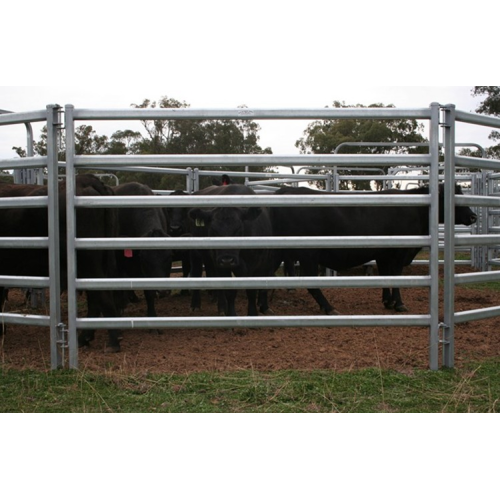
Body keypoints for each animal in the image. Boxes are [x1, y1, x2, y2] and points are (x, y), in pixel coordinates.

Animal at [0, 176, 124, 352]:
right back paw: (85, 338)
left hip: (89, 264)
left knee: (102, 296)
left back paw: (113, 341)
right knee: (95, 298)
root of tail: (87, 179)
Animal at [188, 184, 274, 316]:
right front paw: (231, 314)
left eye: (238, 229)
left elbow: (252, 290)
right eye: (213, 231)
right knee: (197, 273)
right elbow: (229, 291)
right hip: (197, 253)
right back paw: (198, 305)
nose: (227, 260)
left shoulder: (258, 263)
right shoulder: (222, 265)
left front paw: (253, 313)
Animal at [270, 186, 476, 314]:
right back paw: (329, 307)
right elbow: (396, 276)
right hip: (308, 254)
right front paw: (399, 304)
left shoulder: (383, 253)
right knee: (311, 284)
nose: (473, 216)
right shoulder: (399, 253)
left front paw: (388, 301)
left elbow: (385, 276)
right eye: (453, 197)